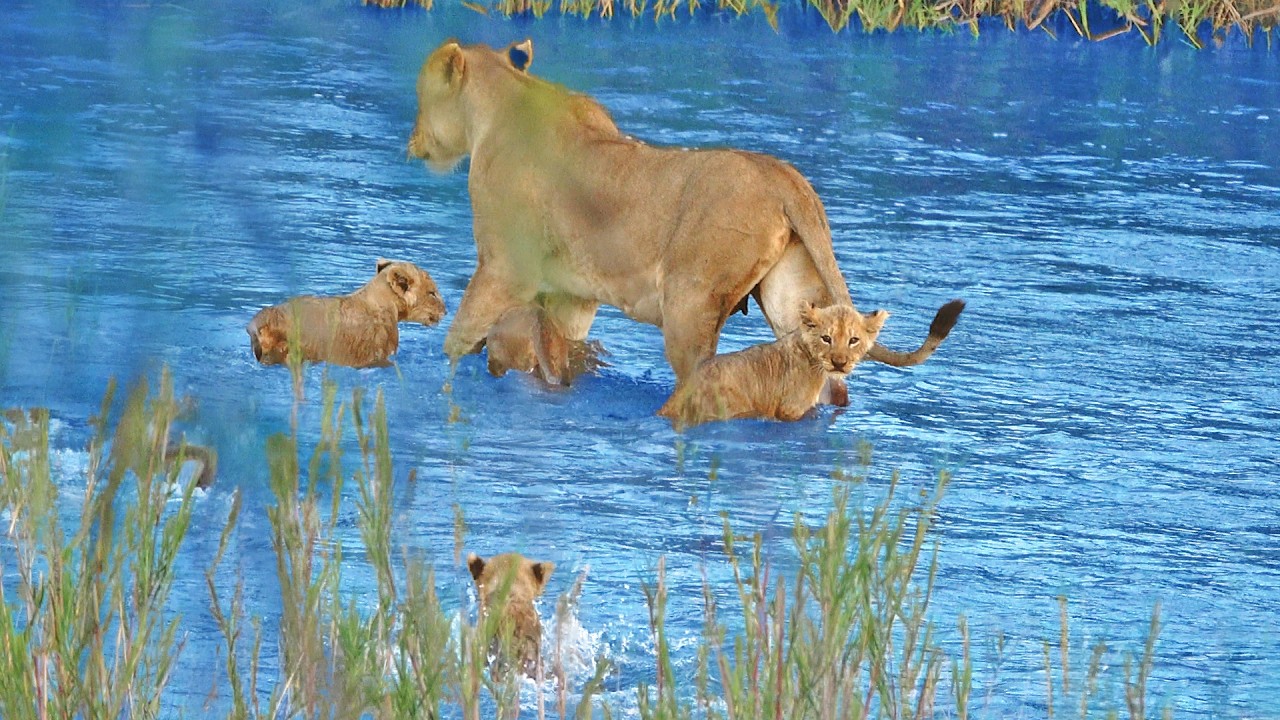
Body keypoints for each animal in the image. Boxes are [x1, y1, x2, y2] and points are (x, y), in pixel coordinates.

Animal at [408, 39, 959, 398]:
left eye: (420, 98)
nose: (412, 141)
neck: (503, 102)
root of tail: (785, 176)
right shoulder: (572, 295)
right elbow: (552, 352)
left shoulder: (503, 267)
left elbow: (457, 341)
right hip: (796, 304)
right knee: (829, 381)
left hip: (689, 300)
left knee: (702, 373)